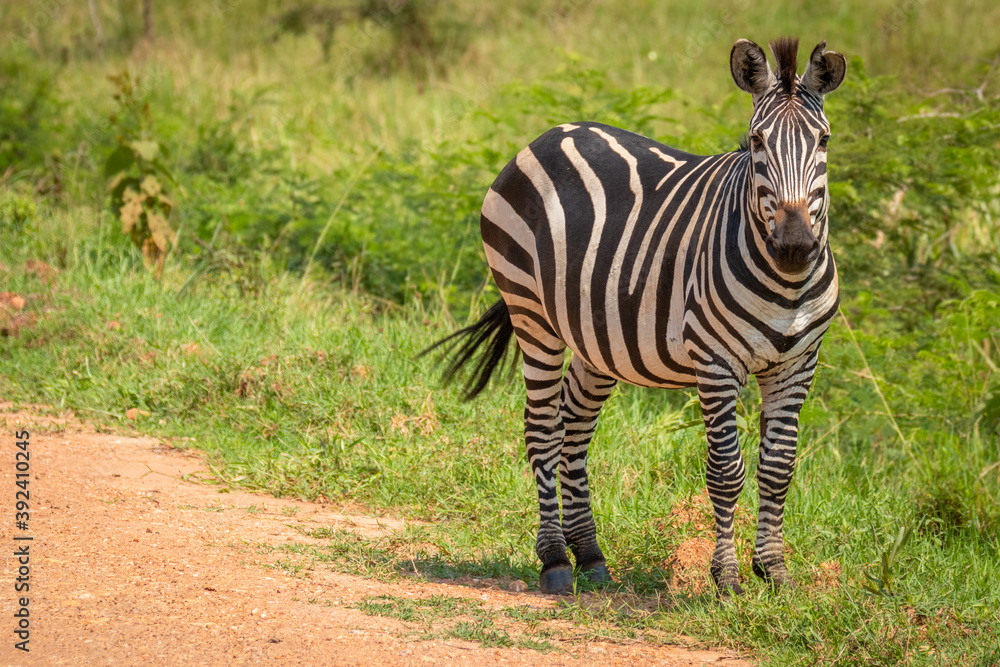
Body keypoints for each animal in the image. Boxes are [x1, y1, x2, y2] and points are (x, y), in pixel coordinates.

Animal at [427, 37, 846, 596]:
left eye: (823, 141)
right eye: (757, 141)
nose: (796, 246)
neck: (787, 283)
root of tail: (549, 134)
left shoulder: (798, 365)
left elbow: (778, 469)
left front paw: (774, 572)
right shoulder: (715, 362)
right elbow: (726, 471)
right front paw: (727, 579)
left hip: (595, 338)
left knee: (573, 430)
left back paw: (590, 556)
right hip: (532, 313)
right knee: (542, 431)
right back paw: (555, 561)